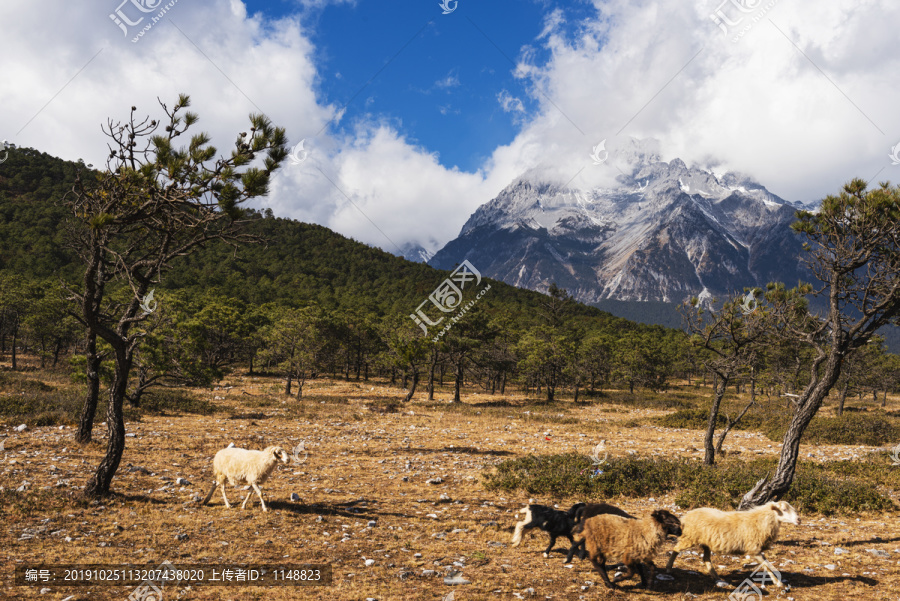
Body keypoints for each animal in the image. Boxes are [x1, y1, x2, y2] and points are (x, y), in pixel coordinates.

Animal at [660, 496, 800, 584]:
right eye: (784, 509)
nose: (799, 519)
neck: (760, 520)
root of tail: (686, 517)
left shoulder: (758, 550)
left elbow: (766, 564)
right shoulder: (753, 549)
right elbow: (766, 565)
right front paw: (778, 583)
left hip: (706, 543)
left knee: (706, 559)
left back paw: (717, 578)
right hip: (690, 537)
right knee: (676, 549)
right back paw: (668, 568)